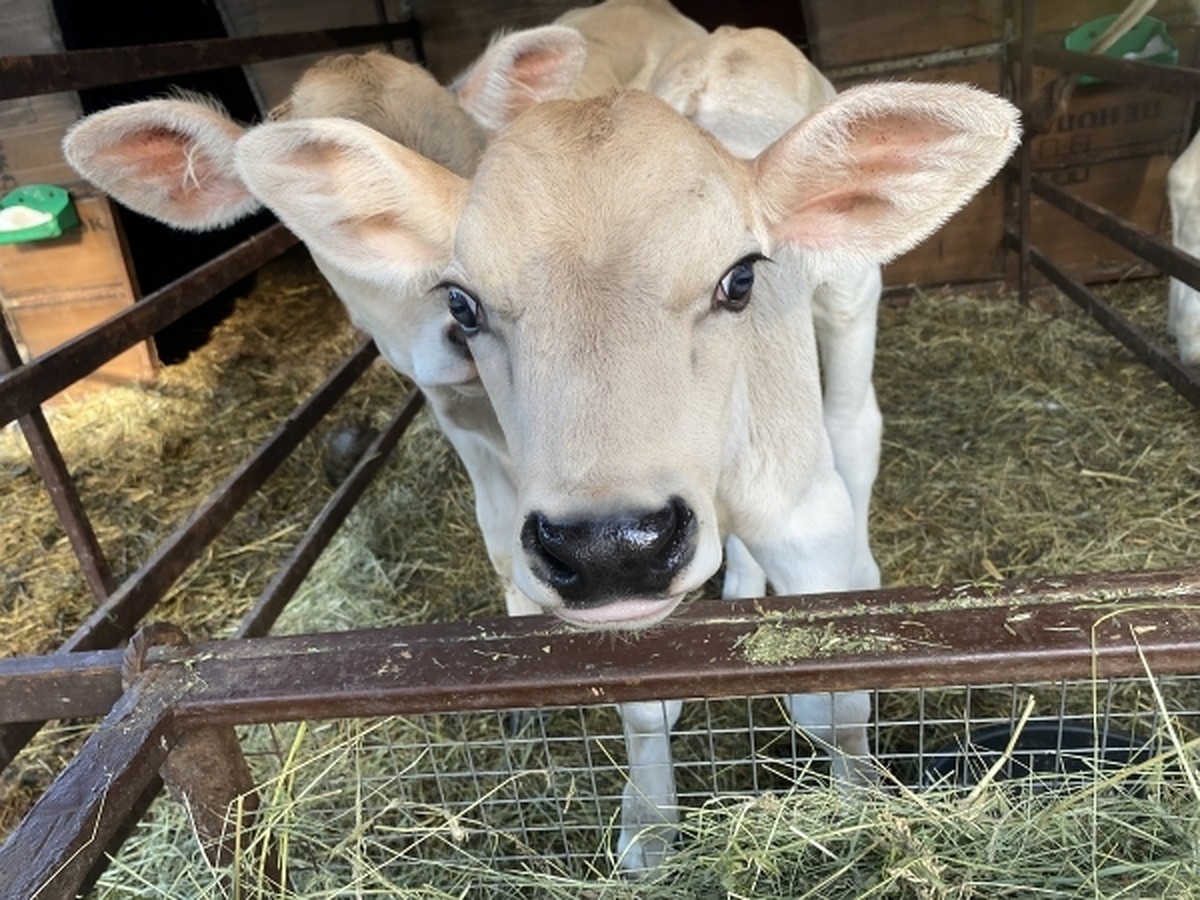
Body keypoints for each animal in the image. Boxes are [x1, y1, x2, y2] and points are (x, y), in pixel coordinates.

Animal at [231, 82, 1022, 868]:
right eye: (461, 303)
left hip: (849, 294)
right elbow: (642, 707)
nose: (608, 545)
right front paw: (649, 825)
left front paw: (861, 811)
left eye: (740, 279)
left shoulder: (805, 518)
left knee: (855, 425)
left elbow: (841, 701)